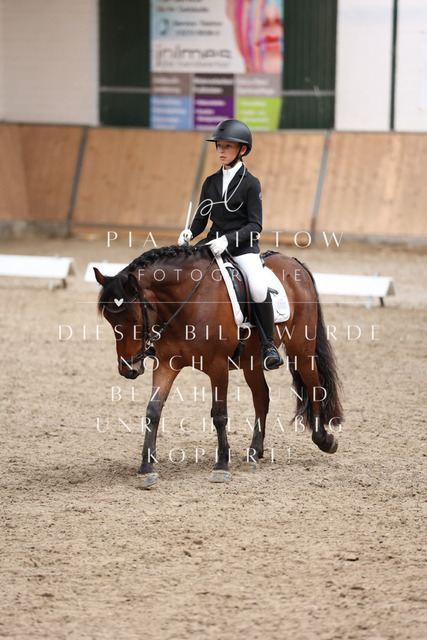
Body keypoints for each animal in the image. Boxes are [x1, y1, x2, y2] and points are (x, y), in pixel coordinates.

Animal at [94, 245, 343, 488]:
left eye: (135, 319)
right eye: (109, 321)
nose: (129, 369)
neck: (186, 302)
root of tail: (293, 261)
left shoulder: (218, 366)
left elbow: (219, 414)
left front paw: (221, 466)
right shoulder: (166, 364)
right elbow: (153, 411)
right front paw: (146, 469)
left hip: (302, 349)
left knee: (313, 386)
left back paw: (324, 440)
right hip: (252, 361)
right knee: (262, 397)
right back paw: (254, 452)